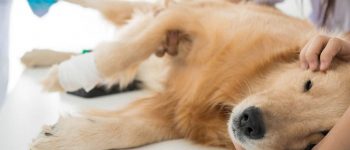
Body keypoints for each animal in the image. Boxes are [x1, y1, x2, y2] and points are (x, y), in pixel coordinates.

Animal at [28, 0, 350, 150]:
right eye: (307, 83)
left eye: (317, 138)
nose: (251, 123)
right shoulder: (187, 17)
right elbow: (130, 49)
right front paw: (63, 78)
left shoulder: (178, 111)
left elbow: (134, 129)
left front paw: (64, 135)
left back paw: (37, 56)